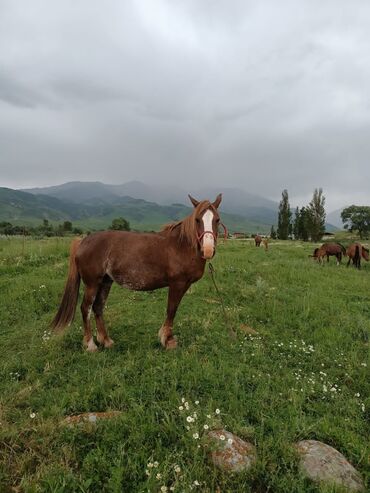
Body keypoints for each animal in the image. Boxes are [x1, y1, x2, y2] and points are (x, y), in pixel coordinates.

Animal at [51, 192, 223, 350]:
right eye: (197, 220)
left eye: (217, 220)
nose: (208, 250)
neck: (181, 246)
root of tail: (83, 241)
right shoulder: (177, 284)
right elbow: (171, 309)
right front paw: (168, 340)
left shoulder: (184, 285)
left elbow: (173, 309)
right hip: (92, 284)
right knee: (85, 308)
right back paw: (90, 345)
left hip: (105, 282)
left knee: (98, 307)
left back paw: (106, 340)